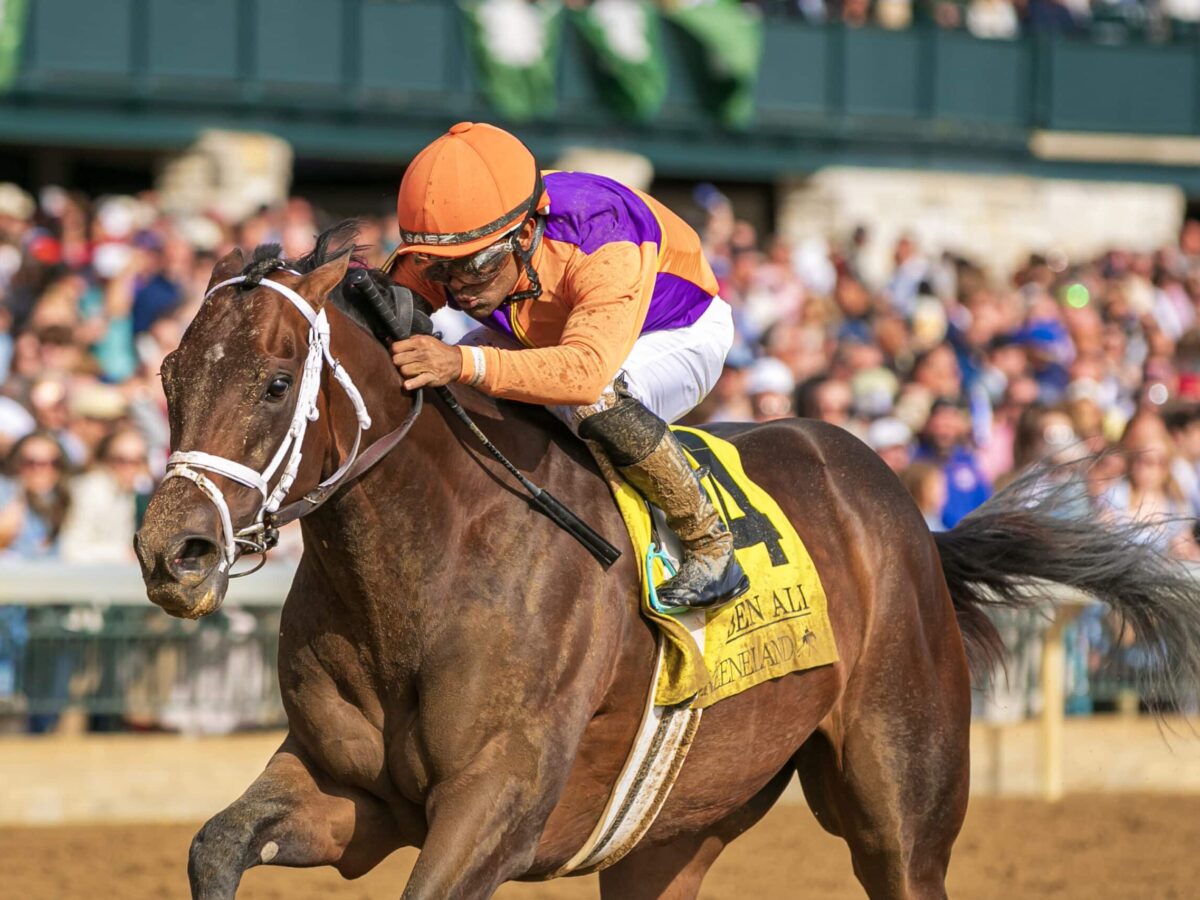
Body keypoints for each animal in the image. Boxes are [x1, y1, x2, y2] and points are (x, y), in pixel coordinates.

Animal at [136, 226, 1200, 900]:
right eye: (169, 375)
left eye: (277, 383)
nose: (171, 552)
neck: (422, 566)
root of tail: (909, 516)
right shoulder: (349, 790)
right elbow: (214, 846)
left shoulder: (498, 798)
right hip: (676, 828)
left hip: (903, 801)